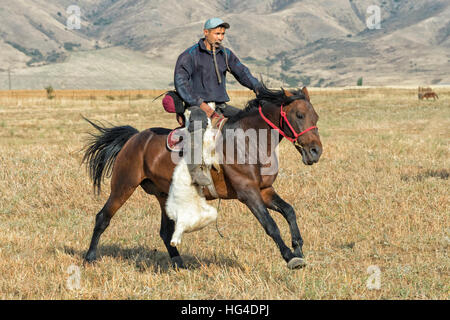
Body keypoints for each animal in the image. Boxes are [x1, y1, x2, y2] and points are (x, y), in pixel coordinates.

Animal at [82, 84, 322, 268]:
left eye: (316, 116)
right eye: (299, 115)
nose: (315, 151)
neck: (248, 141)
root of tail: (134, 138)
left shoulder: (264, 191)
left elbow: (289, 211)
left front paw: (298, 247)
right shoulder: (248, 193)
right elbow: (270, 225)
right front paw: (290, 257)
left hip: (163, 194)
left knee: (165, 232)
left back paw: (179, 264)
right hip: (123, 185)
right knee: (103, 218)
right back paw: (89, 258)